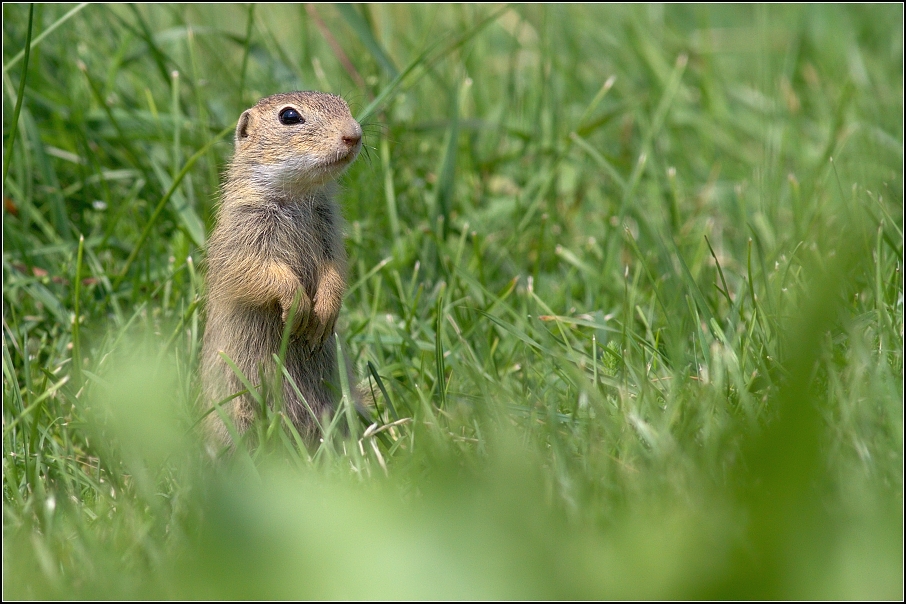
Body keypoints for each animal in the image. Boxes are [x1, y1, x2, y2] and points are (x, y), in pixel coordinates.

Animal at [202, 92, 364, 446]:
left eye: (342, 103)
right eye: (289, 116)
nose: (354, 135)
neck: (298, 196)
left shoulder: (330, 233)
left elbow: (335, 270)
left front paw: (326, 309)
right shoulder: (244, 234)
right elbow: (257, 272)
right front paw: (298, 306)